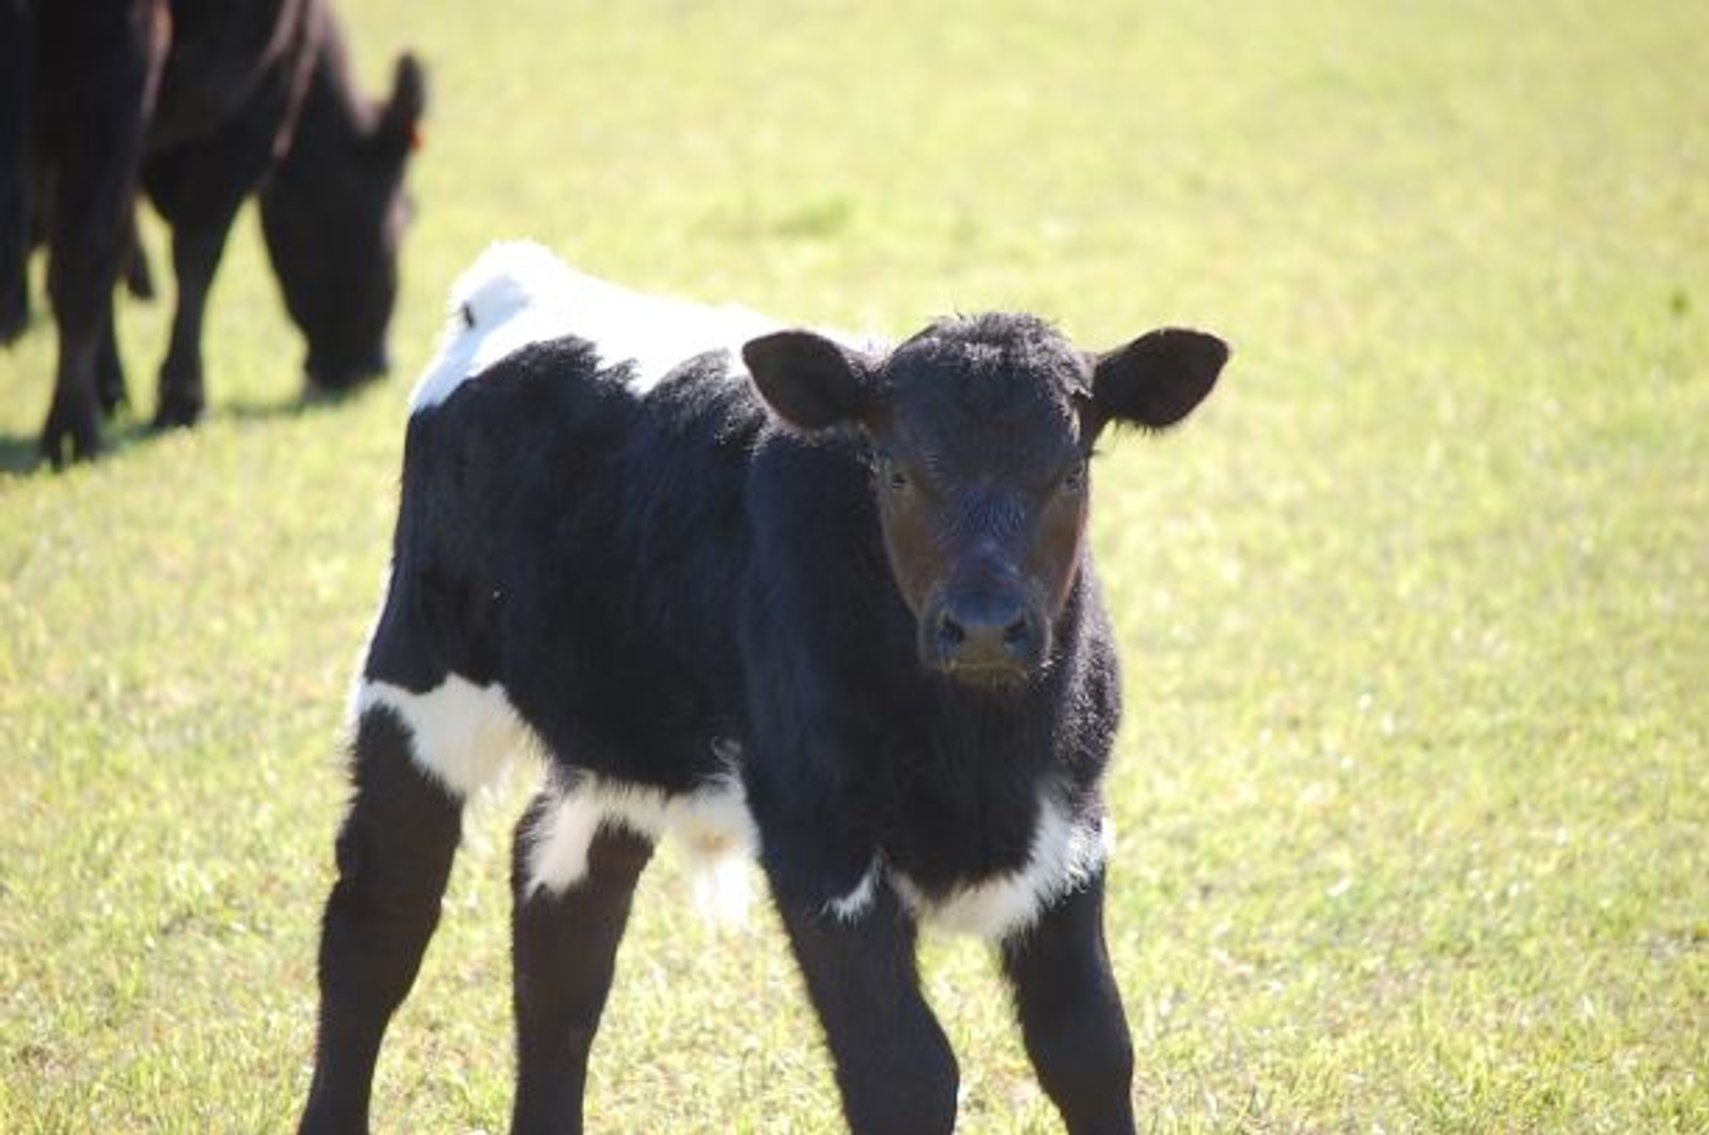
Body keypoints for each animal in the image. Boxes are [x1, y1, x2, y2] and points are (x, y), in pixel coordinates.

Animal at [0, 0, 425, 467]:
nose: (375, 366)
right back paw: (74, 432)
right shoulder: (261, 100)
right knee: (84, 253)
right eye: (404, 218)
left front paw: (112, 385)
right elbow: (198, 251)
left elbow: (121, 244)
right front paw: (182, 400)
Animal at [298, 241, 1229, 1134]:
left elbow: (1089, 1046)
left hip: (624, 733)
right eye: (893, 469)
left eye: (1070, 472)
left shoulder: (1073, 831)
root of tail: (521, 285)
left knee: (563, 925)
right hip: (416, 678)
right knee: (376, 925)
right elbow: (905, 1073)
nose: (984, 625)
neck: (975, 750)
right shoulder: (818, 844)